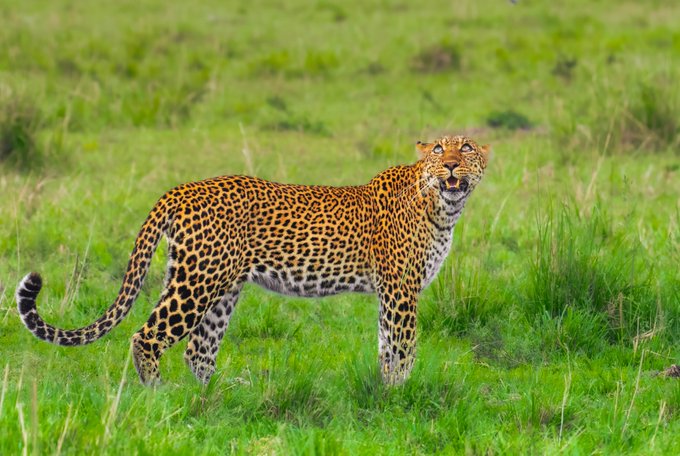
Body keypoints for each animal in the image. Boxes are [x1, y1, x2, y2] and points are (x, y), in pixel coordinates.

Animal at [16, 135, 489, 386]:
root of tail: (180, 189)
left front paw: (387, 388)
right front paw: (399, 395)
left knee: (199, 351)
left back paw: (209, 401)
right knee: (148, 337)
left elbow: (386, 345)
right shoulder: (401, 290)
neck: (444, 208)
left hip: (217, 286)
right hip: (197, 282)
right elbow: (404, 346)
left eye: (466, 148)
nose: (451, 166)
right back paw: (156, 396)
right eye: (438, 151)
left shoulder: (392, 293)